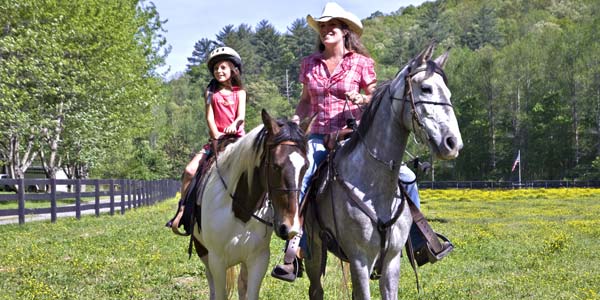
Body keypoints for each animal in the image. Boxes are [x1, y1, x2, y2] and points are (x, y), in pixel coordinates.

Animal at [304, 42, 464, 300]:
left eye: (448, 94)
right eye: (426, 88)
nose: (453, 143)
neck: (373, 186)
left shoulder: (391, 260)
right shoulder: (360, 261)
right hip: (315, 250)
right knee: (315, 289)